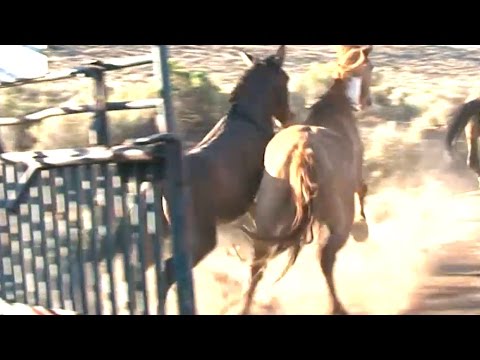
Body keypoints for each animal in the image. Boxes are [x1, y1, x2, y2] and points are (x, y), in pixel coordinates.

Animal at [159, 45, 294, 298]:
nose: (289, 118)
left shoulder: (251, 204)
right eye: (286, 79)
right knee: (170, 271)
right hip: (201, 238)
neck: (250, 118)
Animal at [240, 45, 376, 316]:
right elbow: (364, 190)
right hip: (337, 219)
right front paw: (363, 227)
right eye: (372, 67)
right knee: (325, 258)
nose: (368, 101)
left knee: (257, 264)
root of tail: (302, 151)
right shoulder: (356, 178)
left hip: (267, 216)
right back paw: (337, 307)